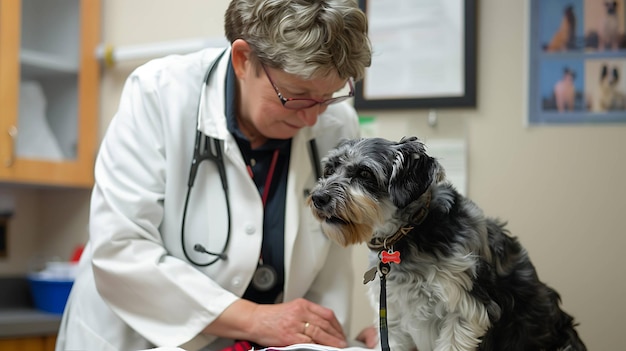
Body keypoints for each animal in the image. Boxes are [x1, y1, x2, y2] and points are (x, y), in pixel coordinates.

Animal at [308, 137, 584, 351]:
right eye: (329, 169)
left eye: (364, 173)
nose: (317, 197)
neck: (410, 233)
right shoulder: (393, 317)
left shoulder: (465, 312)